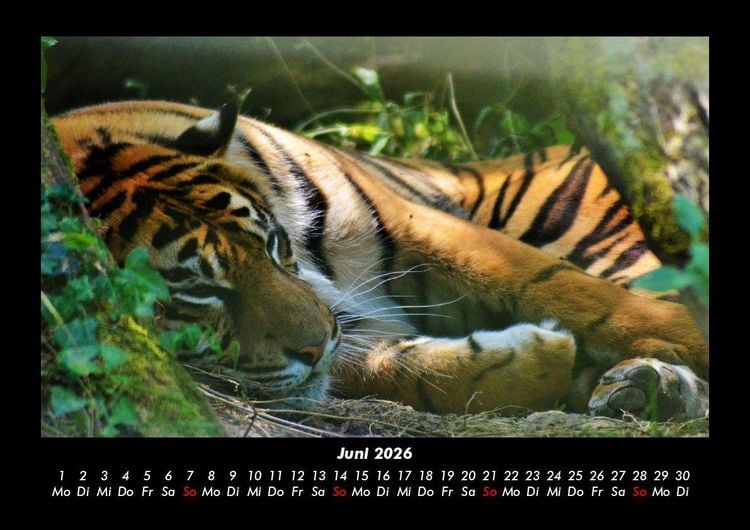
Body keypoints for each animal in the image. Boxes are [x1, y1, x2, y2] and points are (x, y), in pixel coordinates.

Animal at [51, 97, 709, 422]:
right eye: (196, 293)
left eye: (273, 245)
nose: (318, 341)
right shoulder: (340, 335)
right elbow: (400, 369)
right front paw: (532, 363)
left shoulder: (416, 224)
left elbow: (565, 288)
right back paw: (644, 388)